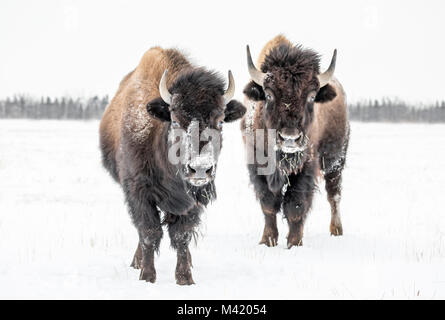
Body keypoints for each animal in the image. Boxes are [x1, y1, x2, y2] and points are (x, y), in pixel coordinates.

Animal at [99, 46, 245, 284]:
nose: (200, 169)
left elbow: (182, 235)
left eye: (221, 122)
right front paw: (147, 276)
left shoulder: (191, 202)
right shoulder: (138, 192)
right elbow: (149, 233)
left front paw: (185, 278)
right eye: (175, 120)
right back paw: (137, 262)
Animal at [241, 35, 348, 250]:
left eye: (312, 96)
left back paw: (336, 230)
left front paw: (294, 242)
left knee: (334, 194)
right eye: (268, 94)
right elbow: (268, 204)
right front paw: (268, 240)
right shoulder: (257, 167)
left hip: (335, 161)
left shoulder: (306, 168)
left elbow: (296, 206)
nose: (290, 138)